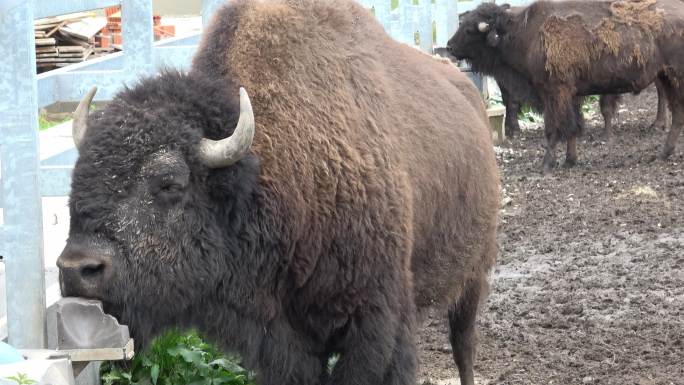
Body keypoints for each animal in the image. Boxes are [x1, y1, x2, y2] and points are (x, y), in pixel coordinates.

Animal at [56, 0, 500, 384]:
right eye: (79, 177)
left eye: (170, 183)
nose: (77, 269)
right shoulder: (285, 341)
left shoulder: (376, 325)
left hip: (474, 271)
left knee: (464, 344)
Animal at [448, 0, 684, 172]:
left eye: (469, 29)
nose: (449, 46)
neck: (524, 33)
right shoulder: (571, 95)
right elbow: (573, 126)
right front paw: (570, 160)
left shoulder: (553, 93)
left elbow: (554, 128)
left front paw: (546, 165)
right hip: (666, 77)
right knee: (677, 114)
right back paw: (663, 154)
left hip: (674, 77)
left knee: (677, 113)